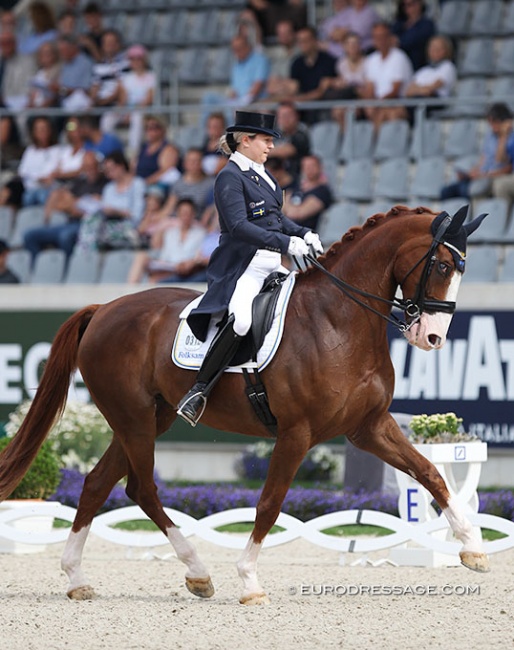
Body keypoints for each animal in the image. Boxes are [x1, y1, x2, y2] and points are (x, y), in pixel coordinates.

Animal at [0, 202, 488, 604]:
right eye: (442, 264)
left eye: (463, 269)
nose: (432, 337)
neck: (337, 321)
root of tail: (102, 309)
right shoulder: (297, 433)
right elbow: (270, 503)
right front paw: (249, 581)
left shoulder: (369, 427)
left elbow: (429, 473)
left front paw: (473, 548)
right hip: (134, 418)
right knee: (142, 488)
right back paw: (197, 571)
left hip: (149, 417)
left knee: (99, 483)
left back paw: (79, 579)